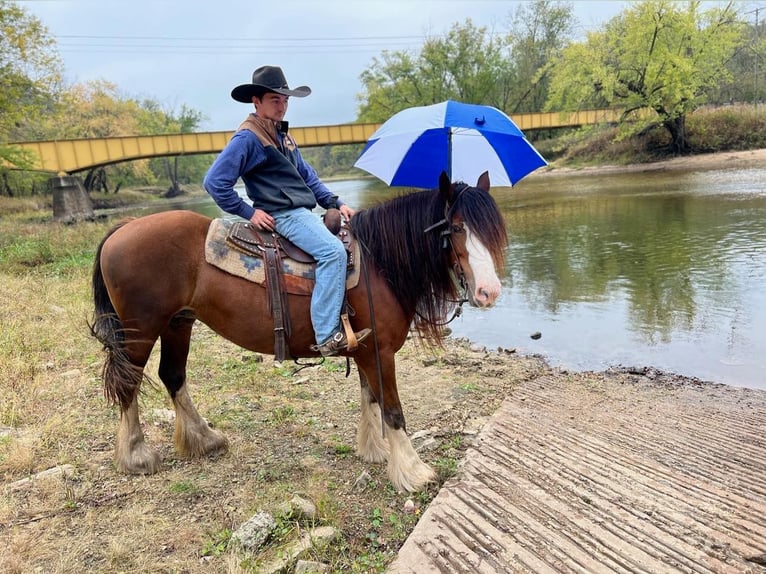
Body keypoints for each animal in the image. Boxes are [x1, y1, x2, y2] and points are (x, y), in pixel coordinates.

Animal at [91, 171, 510, 496]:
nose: (489, 292)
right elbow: (392, 410)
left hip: (179, 322)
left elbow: (369, 399)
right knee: (129, 384)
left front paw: (373, 450)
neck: (379, 263)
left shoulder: (364, 349)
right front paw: (412, 471)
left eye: (494, 231)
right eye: (456, 228)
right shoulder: (381, 350)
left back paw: (204, 439)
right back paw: (135, 455)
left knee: (172, 376)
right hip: (142, 330)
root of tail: (121, 229)